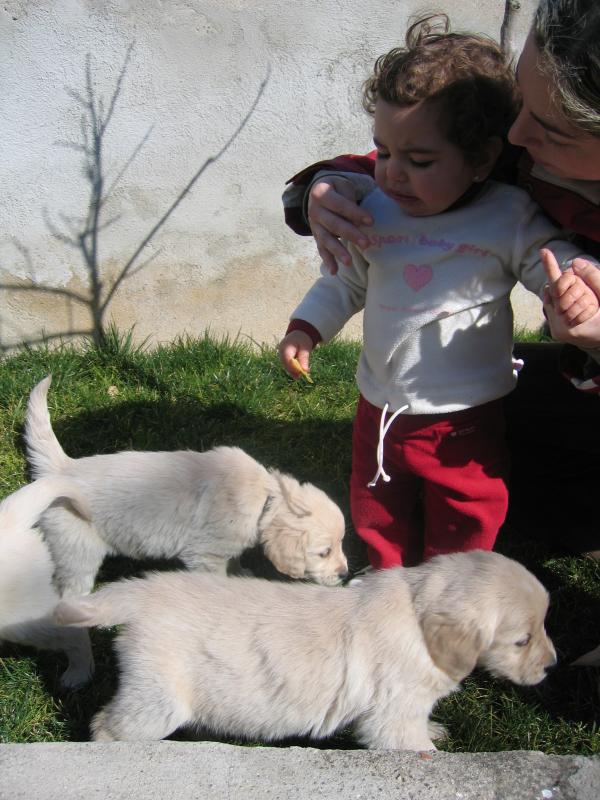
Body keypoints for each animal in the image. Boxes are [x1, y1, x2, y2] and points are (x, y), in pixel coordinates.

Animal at [25, 376, 350, 592]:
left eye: (340, 544)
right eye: (324, 552)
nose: (345, 574)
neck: (264, 497)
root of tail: (63, 468)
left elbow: (233, 562)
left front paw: (241, 572)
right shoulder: (205, 555)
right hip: (76, 550)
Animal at [54, 552, 556, 744]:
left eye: (543, 625)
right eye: (522, 639)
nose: (553, 666)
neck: (417, 613)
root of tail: (141, 592)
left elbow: (420, 727)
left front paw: (433, 731)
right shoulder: (392, 713)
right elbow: (406, 742)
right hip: (156, 699)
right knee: (106, 726)